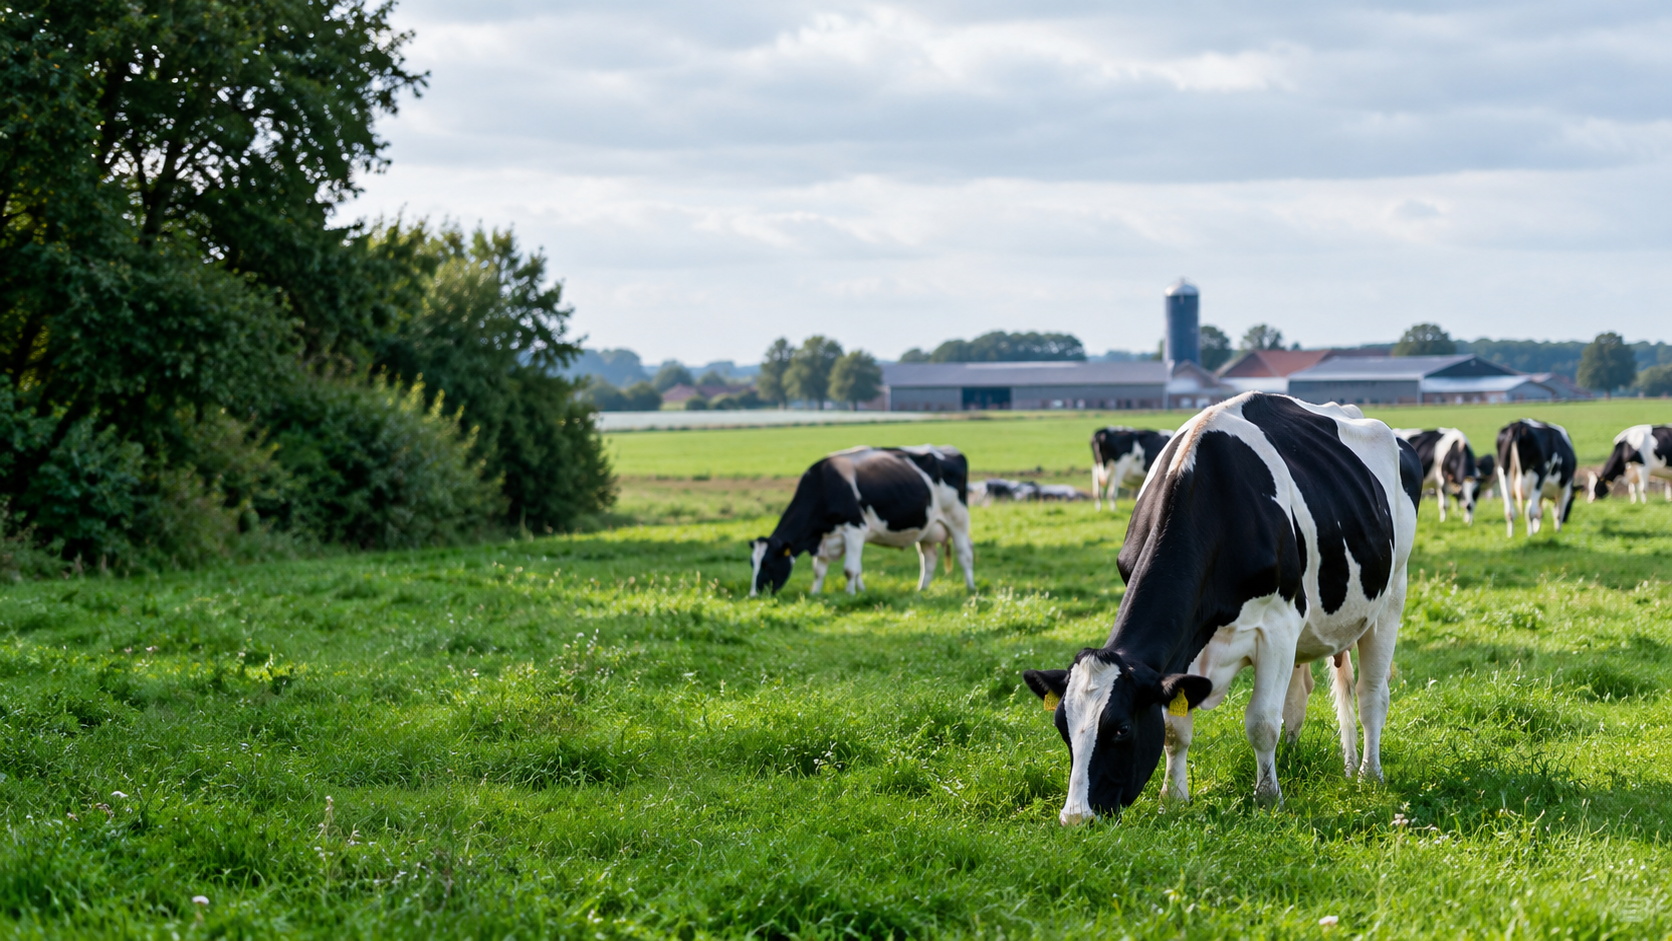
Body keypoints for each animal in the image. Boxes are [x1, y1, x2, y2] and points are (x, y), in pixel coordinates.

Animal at [750, 445, 975, 596]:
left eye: (768, 564)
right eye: (752, 563)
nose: (754, 595)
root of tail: (950, 450)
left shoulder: (855, 530)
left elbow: (850, 569)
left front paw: (850, 594)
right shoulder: (825, 538)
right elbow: (820, 571)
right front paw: (816, 594)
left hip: (958, 518)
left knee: (965, 554)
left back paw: (971, 588)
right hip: (927, 528)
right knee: (929, 558)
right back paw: (922, 590)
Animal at [1021, 393, 1420, 823]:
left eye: (1122, 729)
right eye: (1061, 726)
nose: (1076, 817)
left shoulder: (1278, 626)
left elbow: (1262, 721)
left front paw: (1268, 799)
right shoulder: (1184, 647)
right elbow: (1175, 727)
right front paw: (1174, 798)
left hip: (1391, 598)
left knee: (1370, 695)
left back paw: (1368, 775)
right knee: (1300, 695)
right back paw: (1295, 761)